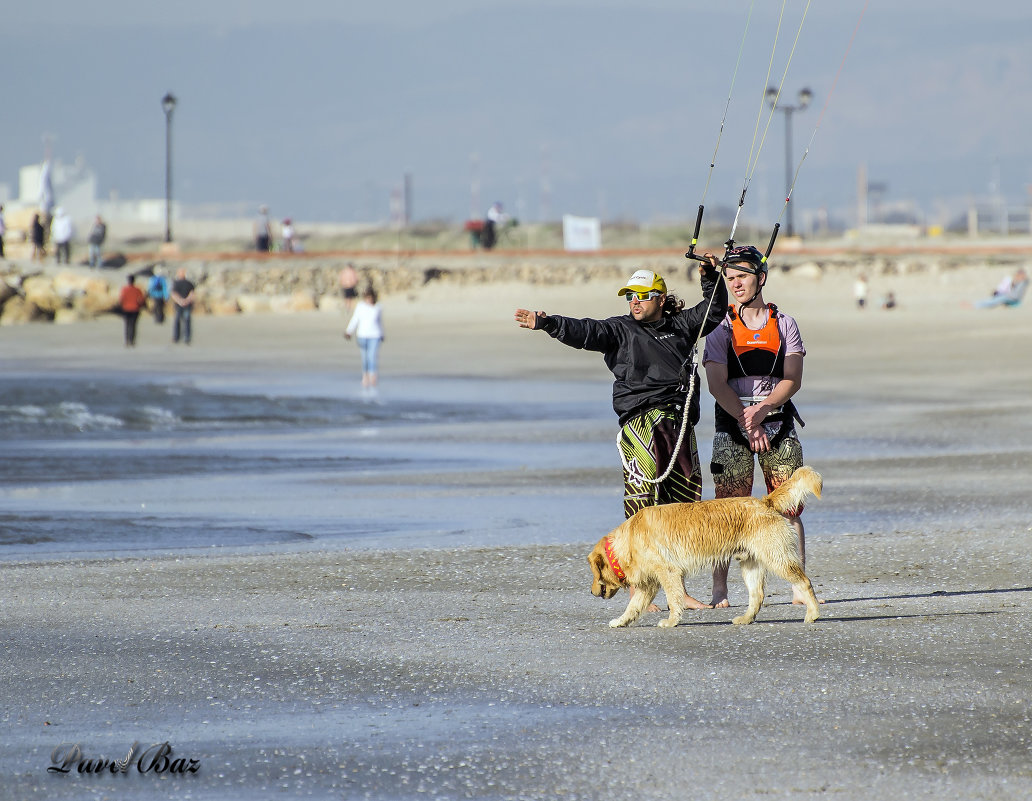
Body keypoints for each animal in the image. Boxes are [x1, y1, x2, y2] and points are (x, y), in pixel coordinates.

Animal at [590, 466, 821, 627]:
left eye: (593, 573)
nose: (591, 593)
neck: (627, 541)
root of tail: (765, 502)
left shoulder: (668, 573)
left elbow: (674, 599)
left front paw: (671, 621)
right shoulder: (649, 584)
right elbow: (633, 606)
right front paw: (621, 621)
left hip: (778, 558)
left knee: (805, 582)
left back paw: (813, 613)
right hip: (751, 565)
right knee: (757, 596)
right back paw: (745, 619)